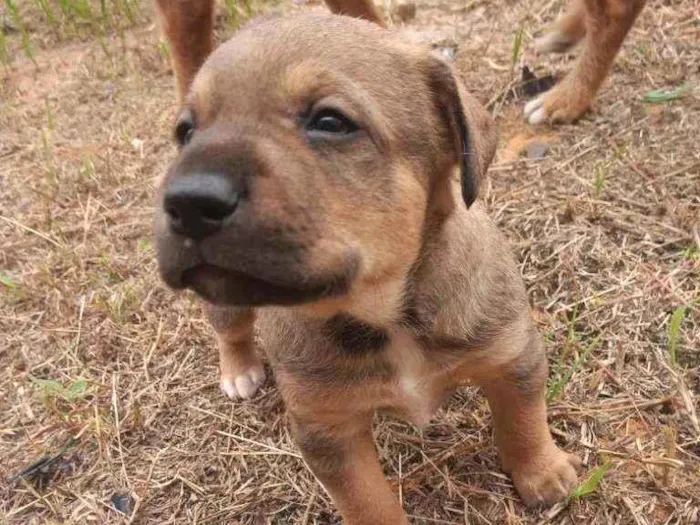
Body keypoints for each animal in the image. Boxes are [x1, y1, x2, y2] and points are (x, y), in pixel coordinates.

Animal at [153, 12, 580, 520]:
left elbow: (523, 420)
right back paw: (239, 371)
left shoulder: (513, 356)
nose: (188, 201)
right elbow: (367, 501)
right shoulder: (328, 429)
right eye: (185, 133)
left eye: (330, 122)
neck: (385, 309)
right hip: (226, 301)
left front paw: (543, 473)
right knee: (231, 330)